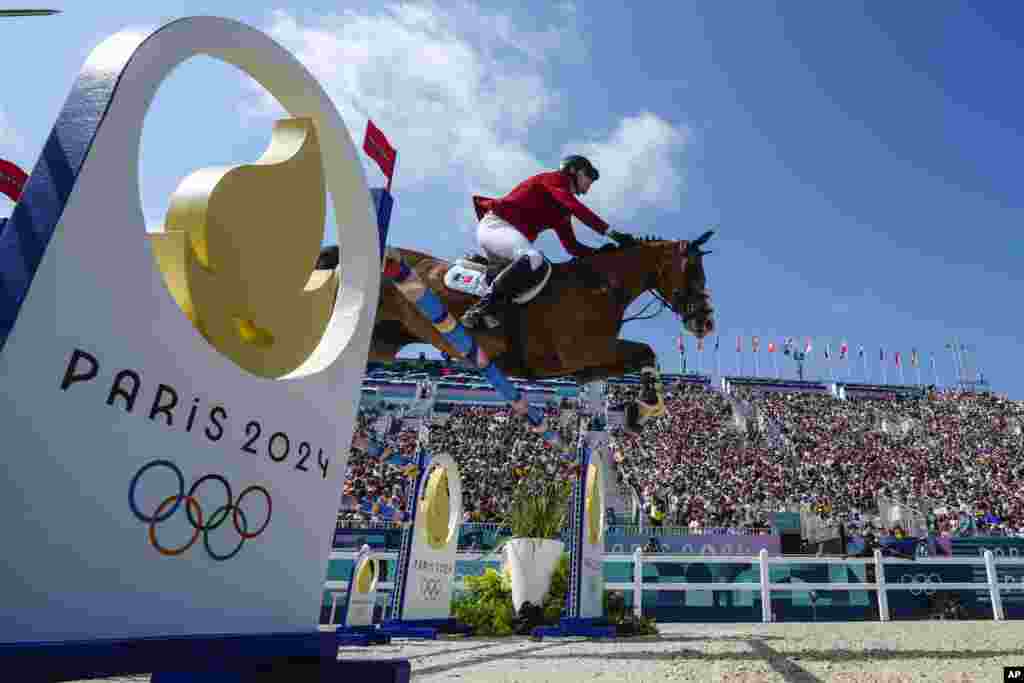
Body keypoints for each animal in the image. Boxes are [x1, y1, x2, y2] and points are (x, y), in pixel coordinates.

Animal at [323, 232, 716, 385]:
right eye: (692, 270)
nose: (706, 322)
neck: (603, 286)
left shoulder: (589, 360)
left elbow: (640, 357)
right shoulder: (579, 351)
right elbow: (645, 350)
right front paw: (646, 408)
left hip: (383, 342)